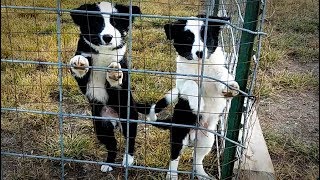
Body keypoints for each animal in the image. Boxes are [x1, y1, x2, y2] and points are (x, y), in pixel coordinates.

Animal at [146, 16, 239, 179]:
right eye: (188, 38)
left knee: (197, 159)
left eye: (205, 36)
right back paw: (172, 175)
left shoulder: (216, 73)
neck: (199, 65)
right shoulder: (181, 84)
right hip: (179, 136)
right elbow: (191, 83)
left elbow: (222, 75)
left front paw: (230, 86)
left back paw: (202, 175)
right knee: (174, 157)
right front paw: (197, 103)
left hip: (206, 140)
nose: (200, 53)